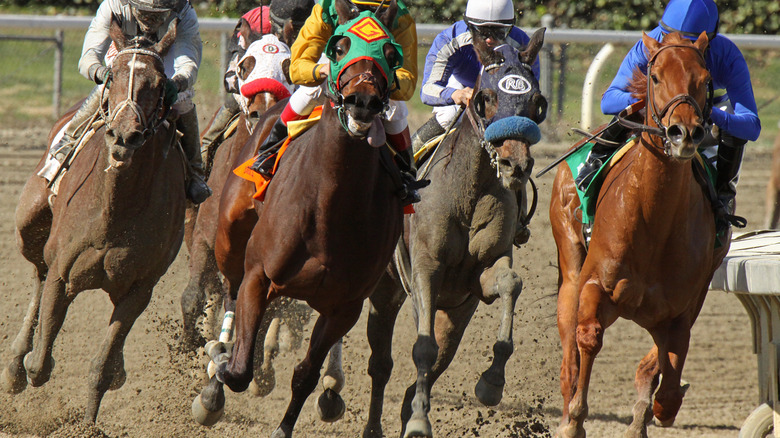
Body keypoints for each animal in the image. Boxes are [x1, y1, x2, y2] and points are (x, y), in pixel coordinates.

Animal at [0, 19, 187, 420]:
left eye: (159, 84)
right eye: (112, 75)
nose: (124, 135)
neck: (114, 211)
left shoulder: (137, 291)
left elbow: (101, 368)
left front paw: (88, 423)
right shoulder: (63, 273)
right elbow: (41, 363)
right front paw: (28, 367)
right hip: (29, 222)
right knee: (37, 274)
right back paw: (15, 365)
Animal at [192, 1, 406, 436]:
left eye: (391, 55)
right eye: (339, 47)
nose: (362, 102)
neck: (331, 204)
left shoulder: (344, 306)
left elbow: (305, 374)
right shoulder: (259, 276)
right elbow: (237, 369)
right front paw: (218, 367)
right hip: (228, 238)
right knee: (229, 289)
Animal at [362, 30, 544, 438]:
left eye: (536, 102)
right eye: (484, 98)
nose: (515, 164)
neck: (469, 192)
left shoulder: (481, 276)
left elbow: (510, 283)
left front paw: (491, 383)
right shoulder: (425, 270)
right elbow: (422, 348)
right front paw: (419, 421)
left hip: (455, 312)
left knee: (435, 362)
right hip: (386, 290)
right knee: (381, 363)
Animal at [552, 31, 728, 438]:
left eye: (704, 78)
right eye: (657, 77)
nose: (684, 133)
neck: (654, 222)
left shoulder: (681, 309)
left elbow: (669, 376)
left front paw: (652, 410)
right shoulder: (596, 284)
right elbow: (588, 336)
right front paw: (576, 419)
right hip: (570, 266)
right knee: (570, 347)